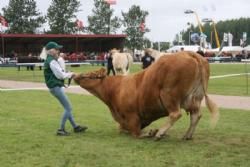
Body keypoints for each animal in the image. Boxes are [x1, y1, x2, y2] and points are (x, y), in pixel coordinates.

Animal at [73, 51, 219, 140]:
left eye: (91, 75)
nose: (75, 76)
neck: (115, 89)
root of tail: (190, 53)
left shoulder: (132, 117)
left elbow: (136, 134)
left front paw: (151, 132)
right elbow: (122, 129)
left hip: (169, 95)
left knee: (176, 114)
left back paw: (160, 133)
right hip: (194, 98)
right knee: (195, 115)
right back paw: (187, 135)